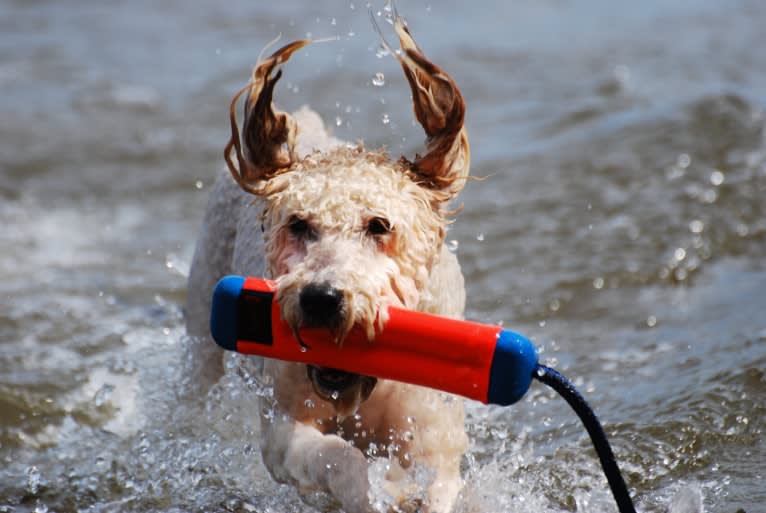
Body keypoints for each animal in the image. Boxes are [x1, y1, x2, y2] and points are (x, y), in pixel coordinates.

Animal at [188, 16, 474, 512]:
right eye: (298, 224)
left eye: (379, 225)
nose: (320, 298)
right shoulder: (284, 427)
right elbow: (334, 458)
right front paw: (372, 491)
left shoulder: (432, 431)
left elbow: (436, 476)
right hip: (201, 320)